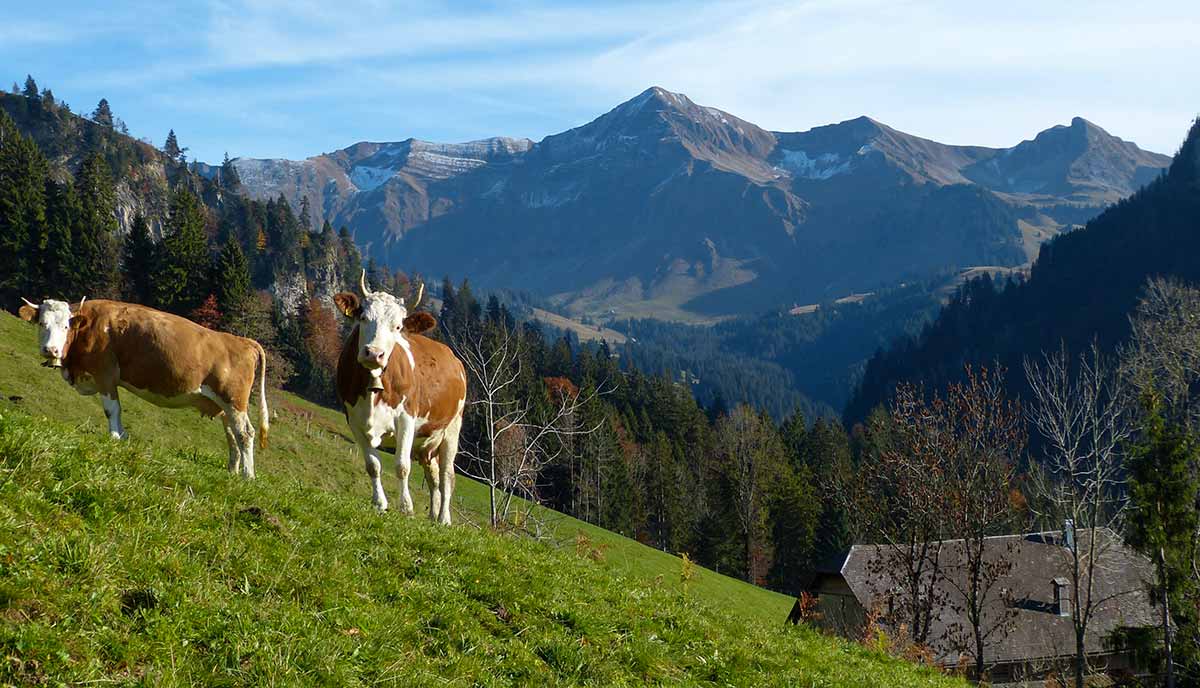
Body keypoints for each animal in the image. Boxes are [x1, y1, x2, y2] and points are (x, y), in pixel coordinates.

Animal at [18, 297, 270, 480]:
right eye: (42, 324)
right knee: (232, 435)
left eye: (65, 326)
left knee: (245, 433)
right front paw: (122, 436)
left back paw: (248, 476)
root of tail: (243, 341)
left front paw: (115, 436)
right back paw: (232, 471)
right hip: (225, 406)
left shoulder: (105, 373)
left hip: (234, 400)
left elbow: (112, 409)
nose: (51, 350)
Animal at [338, 271, 472, 523]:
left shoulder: (407, 418)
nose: (374, 353)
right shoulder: (354, 421)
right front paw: (380, 503)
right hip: (427, 443)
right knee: (433, 476)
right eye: (363, 318)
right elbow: (373, 465)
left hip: (452, 428)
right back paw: (432, 515)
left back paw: (444, 518)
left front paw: (406, 507)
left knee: (447, 476)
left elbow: (402, 466)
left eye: (398, 326)